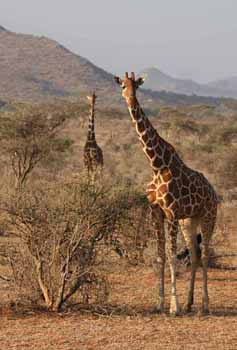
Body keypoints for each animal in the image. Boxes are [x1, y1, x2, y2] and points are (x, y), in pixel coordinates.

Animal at [114, 72, 218, 316]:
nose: (130, 99)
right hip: (189, 220)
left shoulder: (170, 213)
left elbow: (171, 256)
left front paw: (174, 306)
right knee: (195, 253)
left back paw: (204, 305)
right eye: (123, 85)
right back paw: (190, 303)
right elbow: (161, 256)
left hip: (208, 216)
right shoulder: (156, 212)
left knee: (205, 253)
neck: (156, 165)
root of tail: (213, 191)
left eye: (136, 86)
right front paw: (160, 303)